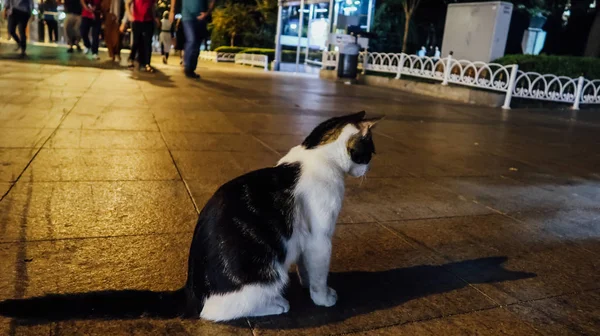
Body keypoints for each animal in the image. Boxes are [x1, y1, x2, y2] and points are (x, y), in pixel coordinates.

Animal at [184, 111, 380, 322]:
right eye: (370, 154)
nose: (369, 169)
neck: (317, 151)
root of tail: (191, 293)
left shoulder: (305, 238)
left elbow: (306, 265)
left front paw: (306, 284)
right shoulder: (320, 239)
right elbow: (320, 275)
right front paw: (322, 298)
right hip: (268, 275)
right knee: (218, 312)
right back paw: (277, 304)